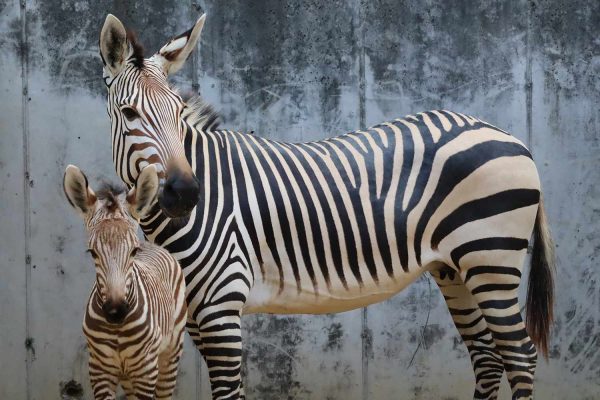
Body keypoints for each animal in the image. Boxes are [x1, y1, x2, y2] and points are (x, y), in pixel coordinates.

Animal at [62, 164, 186, 398]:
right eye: (92, 252)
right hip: (128, 376)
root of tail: (152, 245)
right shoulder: (99, 370)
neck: (117, 330)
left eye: (133, 251)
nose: (116, 312)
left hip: (170, 353)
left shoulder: (146, 371)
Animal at [97, 14, 552, 398]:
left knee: (520, 354)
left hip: (490, 259)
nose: (188, 193)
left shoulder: (222, 305)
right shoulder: (193, 314)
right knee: (488, 357)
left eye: (177, 112)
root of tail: (511, 137)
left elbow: (228, 390)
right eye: (129, 112)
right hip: (455, 268)